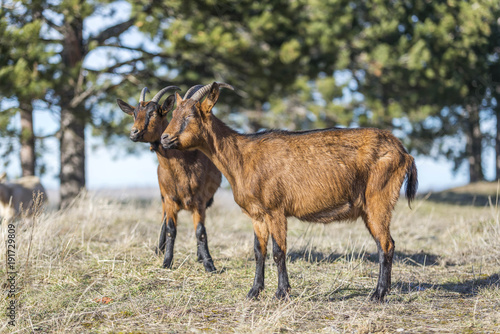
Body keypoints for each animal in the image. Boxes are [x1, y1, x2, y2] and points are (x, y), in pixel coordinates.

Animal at [116, 86, 222, 272]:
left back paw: (199, 256)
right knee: (163, 221)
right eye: (134, 113)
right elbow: (170, 229)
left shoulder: (200, 202)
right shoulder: (170, 200)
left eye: (153, 113)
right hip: (163, 198)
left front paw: (209, 264)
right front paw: (166, 262)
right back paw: (159, 250)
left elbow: (200, 231)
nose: (133, 133)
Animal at [160, 82, 418, 302]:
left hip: (379, 200)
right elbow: (259, 251)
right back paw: (382, 292)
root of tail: (403, 151)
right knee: (384, 244)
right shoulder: (257, 215)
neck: (242, 156)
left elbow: (278, 251)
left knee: (387, 244)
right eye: (172, 114)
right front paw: (254, 292)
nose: (164, 138)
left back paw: (378, 295)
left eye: (190, 116)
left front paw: (281, 293)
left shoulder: (276, 210)